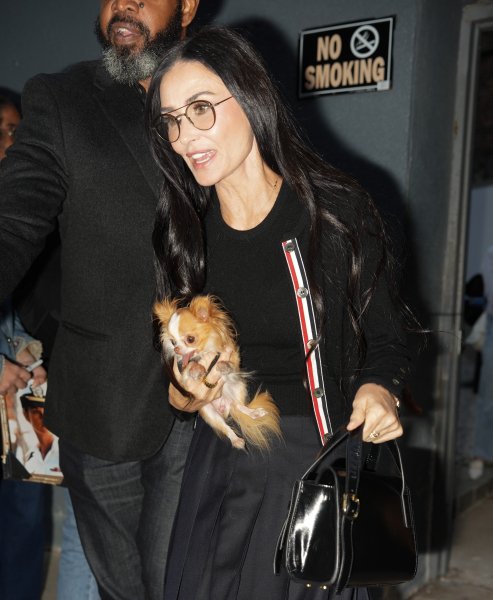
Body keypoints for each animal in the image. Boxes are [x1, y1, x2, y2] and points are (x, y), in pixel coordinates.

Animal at [154, 295, 281, 450]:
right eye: (172, 342)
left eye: (190, 339)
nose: (177, 349)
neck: (206, 353)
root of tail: (224, 407)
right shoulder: (181, 373)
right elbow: (189, 367)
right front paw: (196, 369)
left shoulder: (233, 357)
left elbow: (231, 365)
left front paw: (223, 366)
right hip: (209, 412)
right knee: (225, 426)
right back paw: (236, 440)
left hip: (239, 388)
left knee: (239, 406)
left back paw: (254, 413)